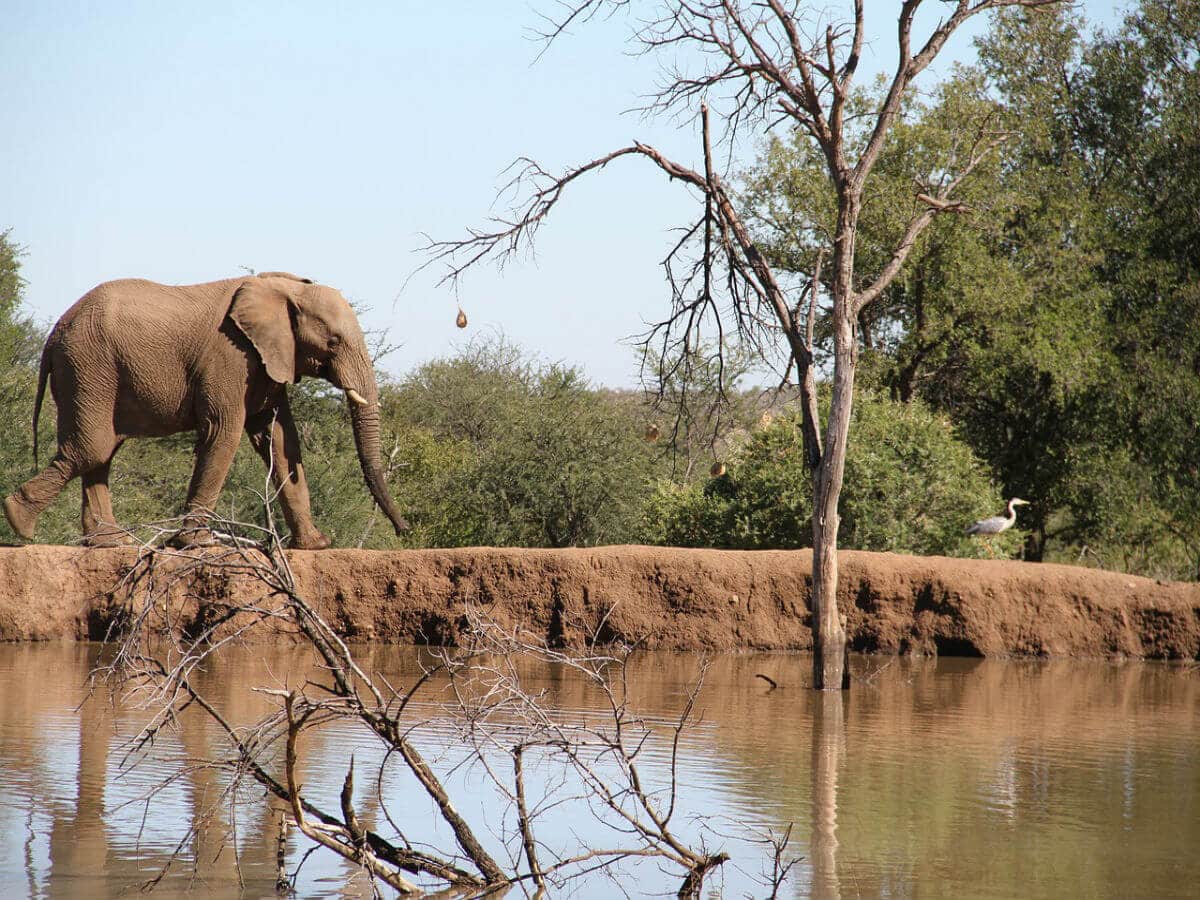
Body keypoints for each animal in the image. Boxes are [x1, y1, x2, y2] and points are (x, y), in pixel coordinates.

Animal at [1, 270, 408, 549]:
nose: (404, 530)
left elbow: (279, 439)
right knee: (92, 448)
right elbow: (223, 431)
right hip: (87, 366)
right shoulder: (229, 357)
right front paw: (195, 544)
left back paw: (110, 542)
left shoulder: (267, 360)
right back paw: (19, 522)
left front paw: (315, 545)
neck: (283, 287)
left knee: (102, 452)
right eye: (333, 341)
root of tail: (53, 333)